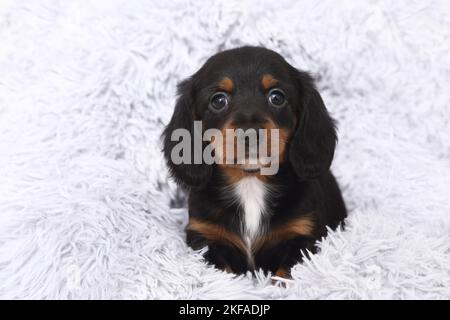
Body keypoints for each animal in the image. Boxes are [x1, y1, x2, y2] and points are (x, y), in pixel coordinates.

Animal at [163, 45, 346, 278]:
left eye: (276, 97)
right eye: (218, 100)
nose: (250, 132)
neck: (250, 181)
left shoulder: (304, 235)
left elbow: (285, 273)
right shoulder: (204, 238)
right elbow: (222, 272)